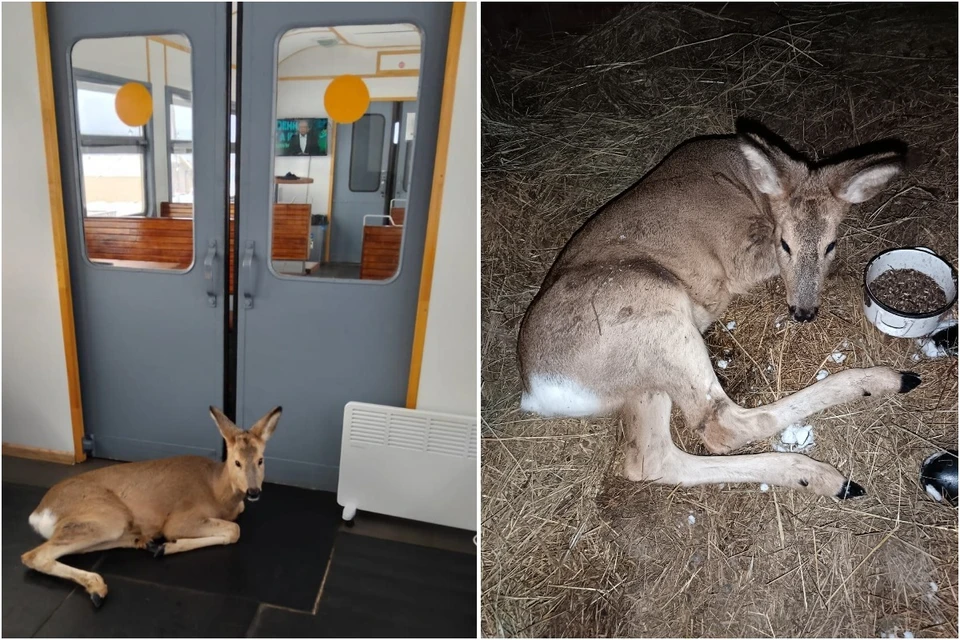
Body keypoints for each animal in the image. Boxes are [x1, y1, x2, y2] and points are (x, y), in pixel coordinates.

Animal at [19, 408, 282, 608]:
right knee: (34, 556)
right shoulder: (181, 519)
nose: (254, 491)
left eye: (261, 460)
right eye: (236, 462)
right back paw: (99, 585)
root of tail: (38, 513)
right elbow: (234, 530)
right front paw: (169, 546)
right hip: (108, 515)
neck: (217, 490)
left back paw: (143, 545)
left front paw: (161, 546)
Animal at [516, 121, 924, 500]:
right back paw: (868, 407)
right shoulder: (740, 259)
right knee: (722, 424)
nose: (804, 312)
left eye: (830, 245)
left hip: (644, 381)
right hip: (655, 312)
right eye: (785, 244)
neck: (751, 187)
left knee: (650, 460)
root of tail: (539, 391)